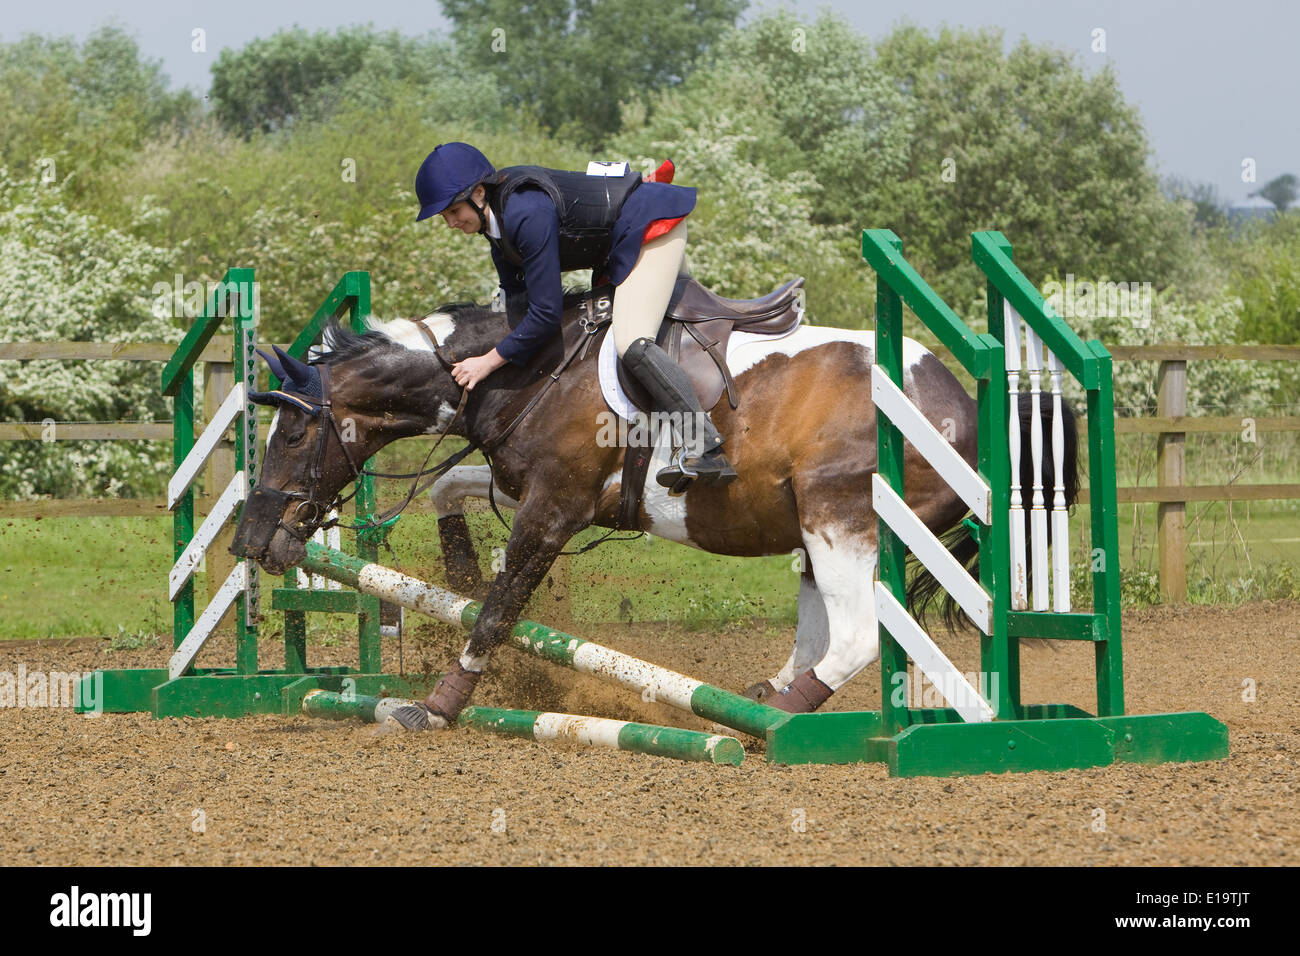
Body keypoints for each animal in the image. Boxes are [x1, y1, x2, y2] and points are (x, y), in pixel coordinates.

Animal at [230, 287, 1077, 729]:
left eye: (296, 430)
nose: (254, 542)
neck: (527, 368)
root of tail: (962, 405)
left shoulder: (555, 507)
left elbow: (500, 611)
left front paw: (438, 703)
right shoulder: (529, 487)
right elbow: (450, 492)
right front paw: (460, 567)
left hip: (840, 518)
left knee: (858, 636)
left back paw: (778, 722)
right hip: (815, 529)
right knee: (822, 627)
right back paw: (763, 701)